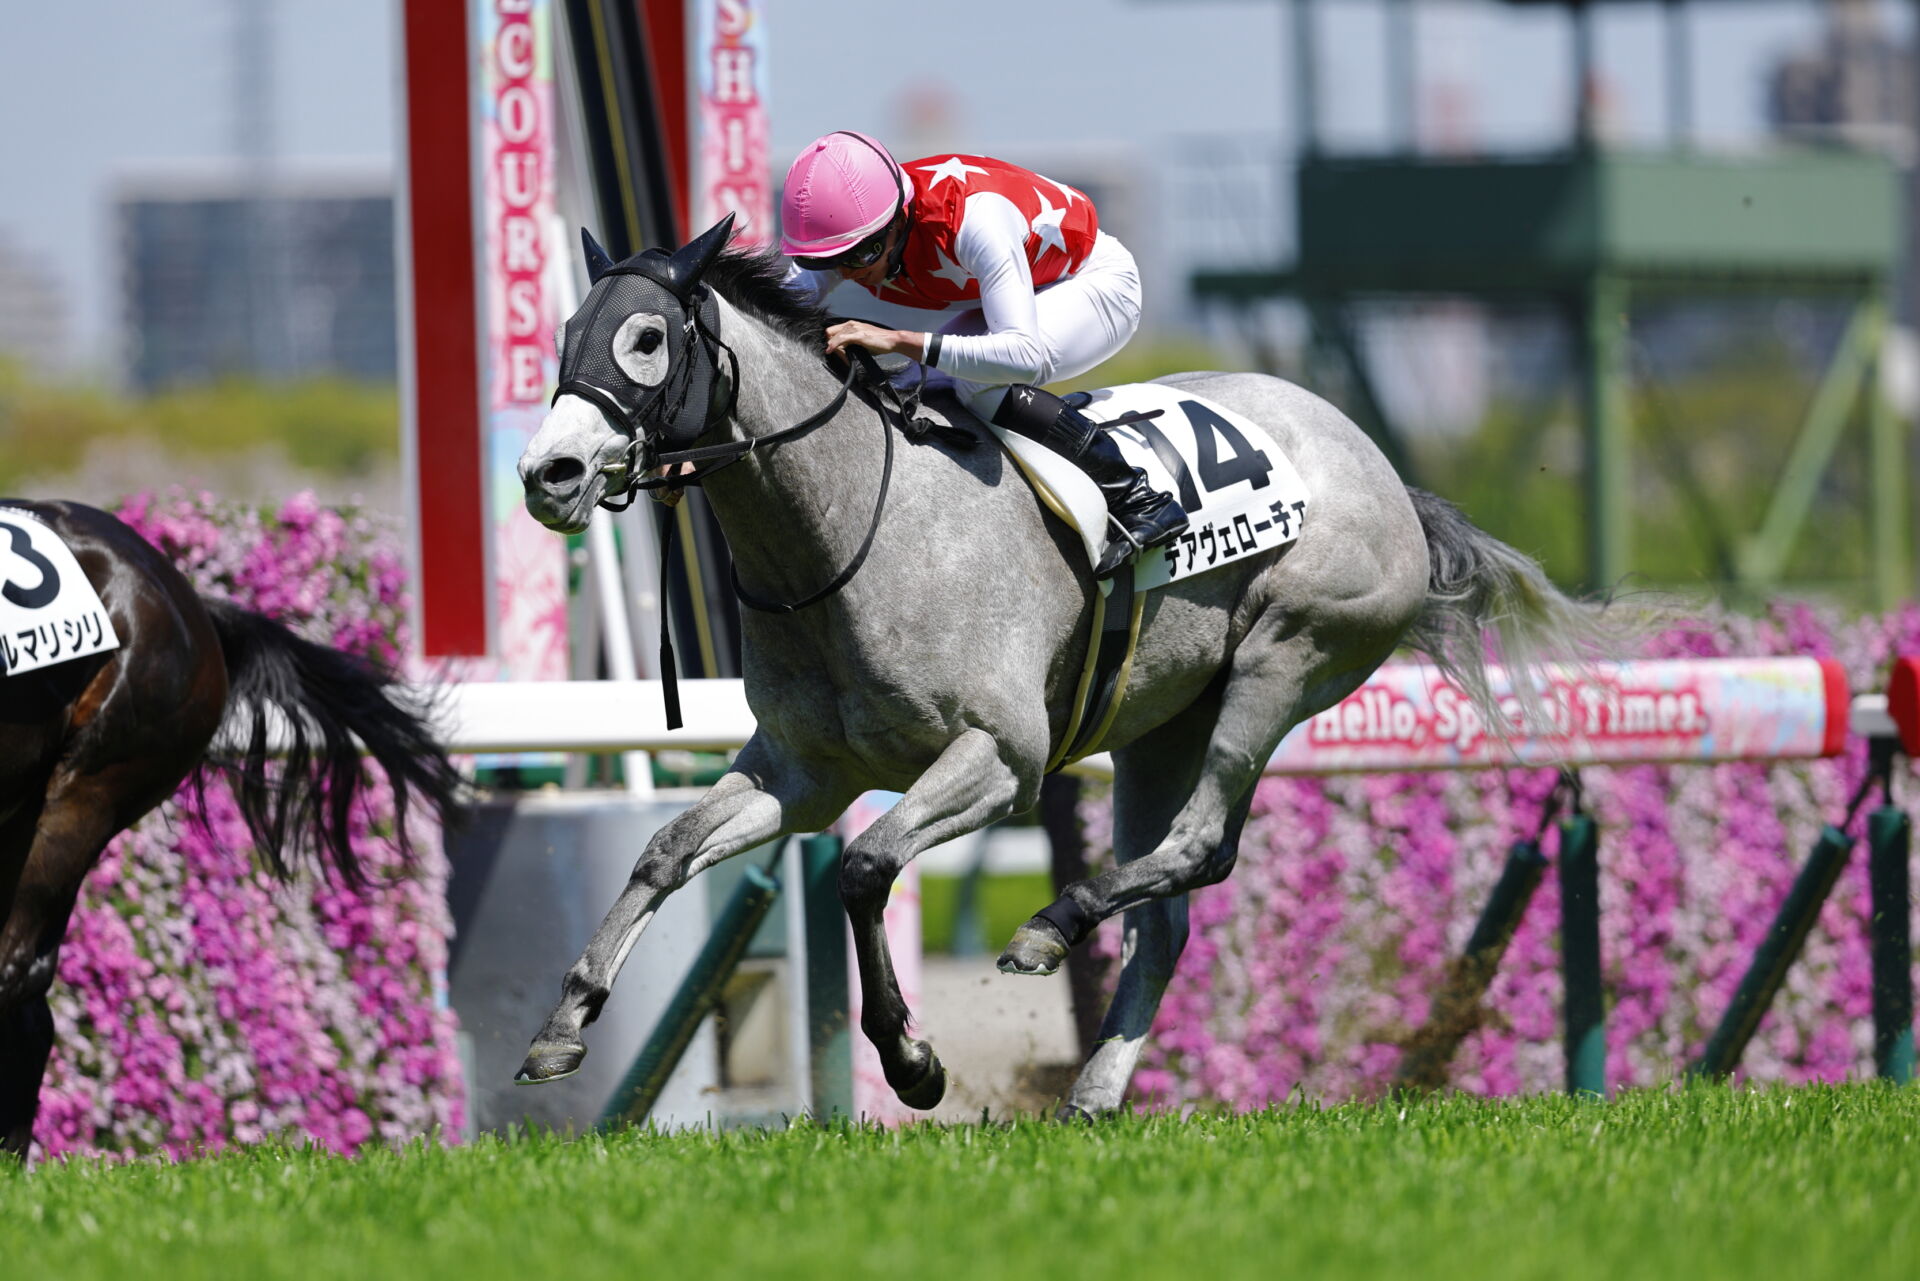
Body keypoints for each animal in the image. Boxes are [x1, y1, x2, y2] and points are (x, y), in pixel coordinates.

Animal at [513, 215, 1611, 1118]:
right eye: (565, 334)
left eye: (646, 338)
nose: (546, 475)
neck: (848, 537)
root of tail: (1380, 467)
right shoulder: (802, 772)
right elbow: (664, 852)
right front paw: (564, 1024)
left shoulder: (1002, 759)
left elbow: (867, 868)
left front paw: (912, 1063)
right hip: (1163, 727)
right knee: (1169, 917)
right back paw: (1093, 1090)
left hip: (1285, 659)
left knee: (1202, 845)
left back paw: (1053, 924)